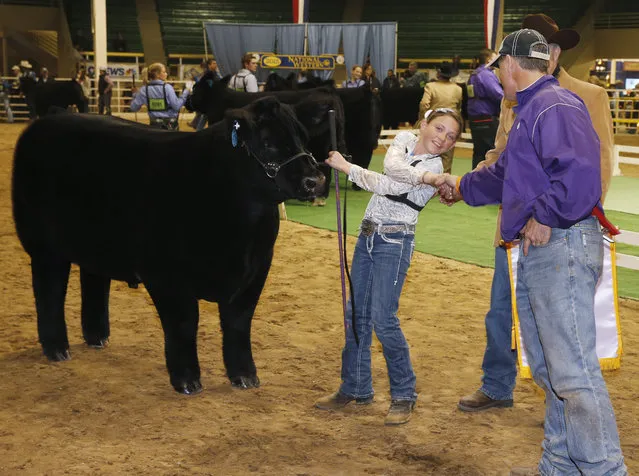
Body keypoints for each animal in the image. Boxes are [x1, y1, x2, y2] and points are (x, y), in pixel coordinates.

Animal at [11, 96, 324, 394]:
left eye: (303, 138)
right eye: (268, 143)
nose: (315, 180)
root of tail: (48, 119)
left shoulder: (256, 270)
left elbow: (238, 323)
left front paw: (245, 376)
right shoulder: (166, 277)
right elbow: (184, 324)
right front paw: (187, 381)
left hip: (97, 246)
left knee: (94, 282)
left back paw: (97, 337)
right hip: (43, 247)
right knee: (49, 291)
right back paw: (56, 348)